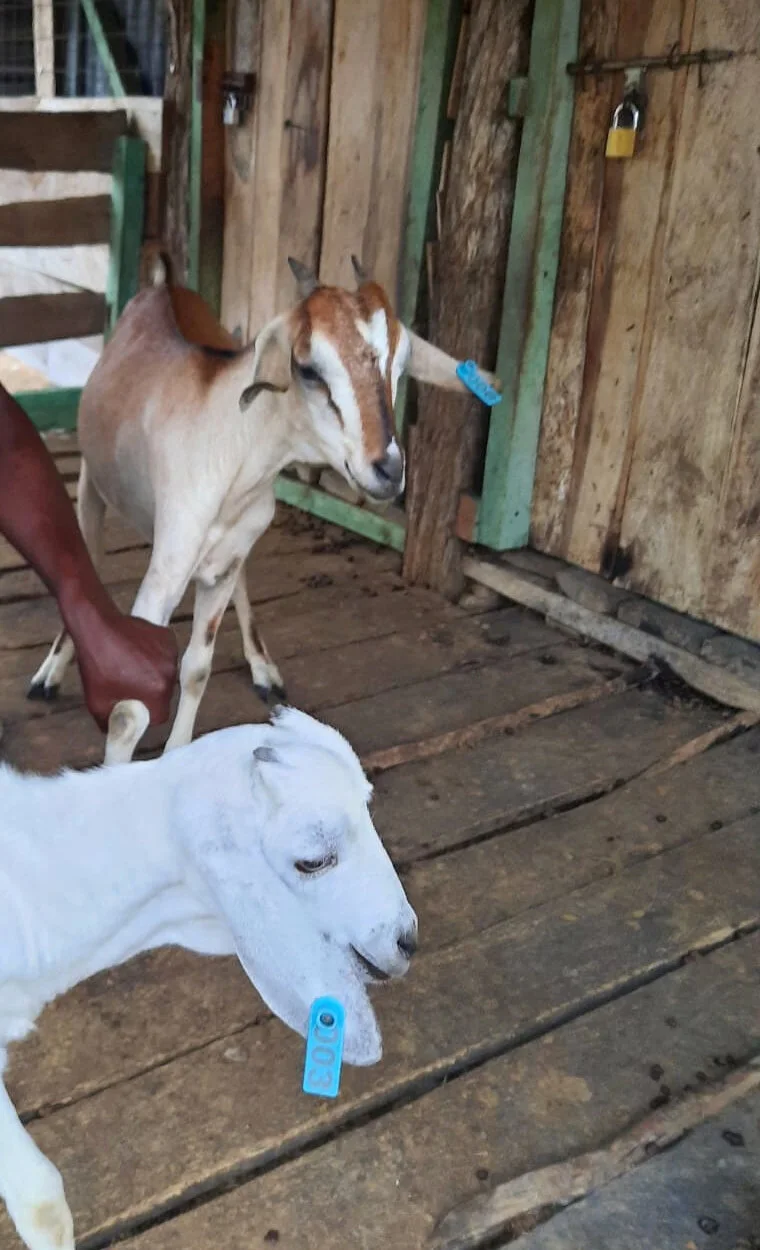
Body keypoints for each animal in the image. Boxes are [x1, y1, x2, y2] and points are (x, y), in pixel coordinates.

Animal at [29, 256, 499, 764]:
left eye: (402, 362)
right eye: (309, 369)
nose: (388, 469)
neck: (234, 452)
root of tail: (163, 284)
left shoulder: (225, 558)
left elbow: (197, 667)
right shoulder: (165, 572)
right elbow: (129, 710)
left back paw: (263, 667)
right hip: (91, 484)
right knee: (86, 552)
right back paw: (50, 672)